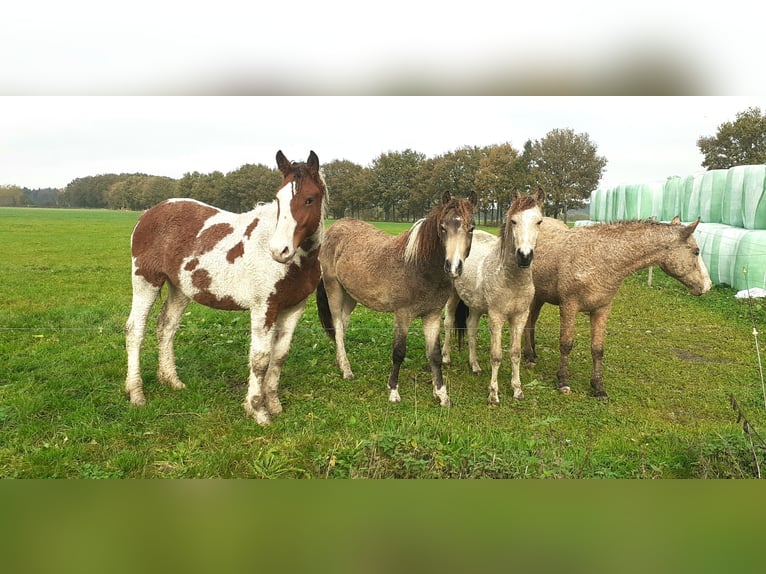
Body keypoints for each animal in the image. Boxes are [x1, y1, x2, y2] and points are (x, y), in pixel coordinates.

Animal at [124, 150, 327, 426]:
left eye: (309, 199)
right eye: (278, 199)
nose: (279, 250)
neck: (297, 263)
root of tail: (148, 213)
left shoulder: (294, 308)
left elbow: (279, 356)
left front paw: (274, 404)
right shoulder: (264, 307)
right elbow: (260, 359)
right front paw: (257, 410)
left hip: (180, 288)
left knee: (166, 326)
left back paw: (172, 380)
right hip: (146, 280)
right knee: (135, 330)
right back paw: (136, 393)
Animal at [316, 191, 477, 407]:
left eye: (471, 228)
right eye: (443, 227)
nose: (453, 267)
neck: (420, 266)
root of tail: (335, 227)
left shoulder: (432, 316)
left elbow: (434, 355)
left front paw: (442, 394)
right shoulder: (403, 314)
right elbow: (399, 352)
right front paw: (393, 391)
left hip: (350, 297)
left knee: (341, 326)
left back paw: (340, 362)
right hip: (334, 288)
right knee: (338, 326)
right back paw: (347, 370)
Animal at [441, 191, 545, 404]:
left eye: (539, 221)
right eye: (513, 221)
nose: (524, 256)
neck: (511, 279)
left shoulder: (520, 317)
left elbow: (515, 353)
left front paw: (517, 390)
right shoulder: (496, 317)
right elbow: (496, 356)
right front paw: (493, 394)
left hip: (475, 306)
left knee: (471, 328)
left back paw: (475, 366)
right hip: (453, 297)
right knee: (448, 322)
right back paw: (446, 358)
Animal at [524, 216, 713, 398]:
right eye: (696, 251)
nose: (707, 286)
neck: (601, 258)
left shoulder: (602, 309)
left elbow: (597, 349)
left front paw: (598, 388)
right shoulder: (569, 306)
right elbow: (566, 344)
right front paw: (563, 381)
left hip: (540, 296)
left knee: (532, 320)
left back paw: (532, 354)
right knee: (528, 322)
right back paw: (529, 357)